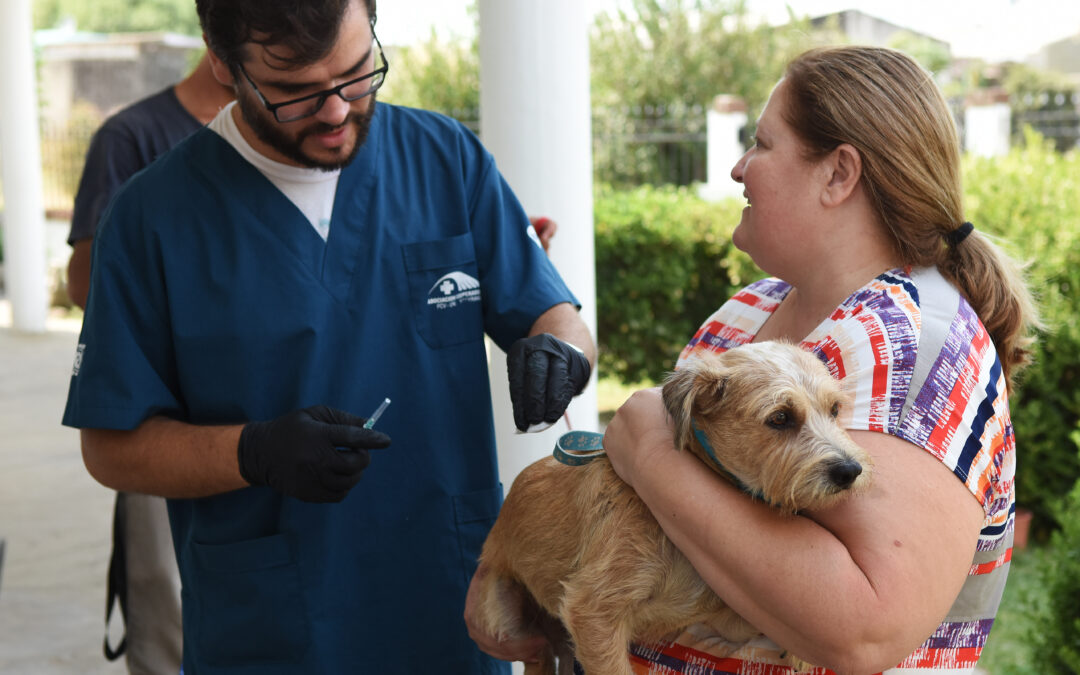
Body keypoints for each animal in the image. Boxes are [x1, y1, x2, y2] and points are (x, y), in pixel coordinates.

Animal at [477, 341, 872, 673]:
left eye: (835, 410)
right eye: (779, 417)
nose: (850, 471)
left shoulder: (727, 618)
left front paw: (806, 653)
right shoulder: (593, 612)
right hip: (507, 621)